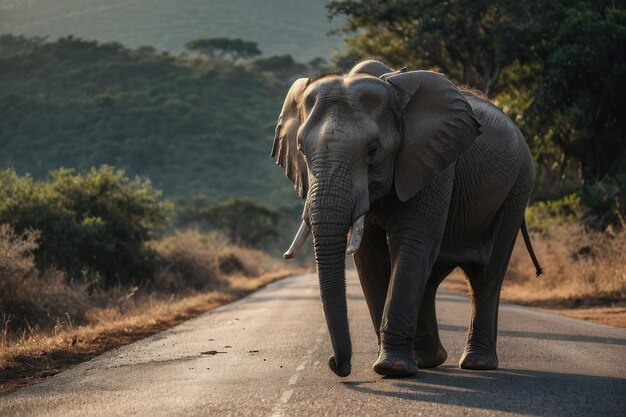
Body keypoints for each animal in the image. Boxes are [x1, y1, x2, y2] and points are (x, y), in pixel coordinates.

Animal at [270, 59, 540, 376]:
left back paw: (476, 364)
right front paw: (393, 364)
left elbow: (411, 242)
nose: (337, 364)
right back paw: (428, 360)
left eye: (373, 150)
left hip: (518, 187)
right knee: (433, 274)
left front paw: (393, 368)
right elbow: (369, 257)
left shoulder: (430, 162)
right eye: (301, 149)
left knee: (485, 273)